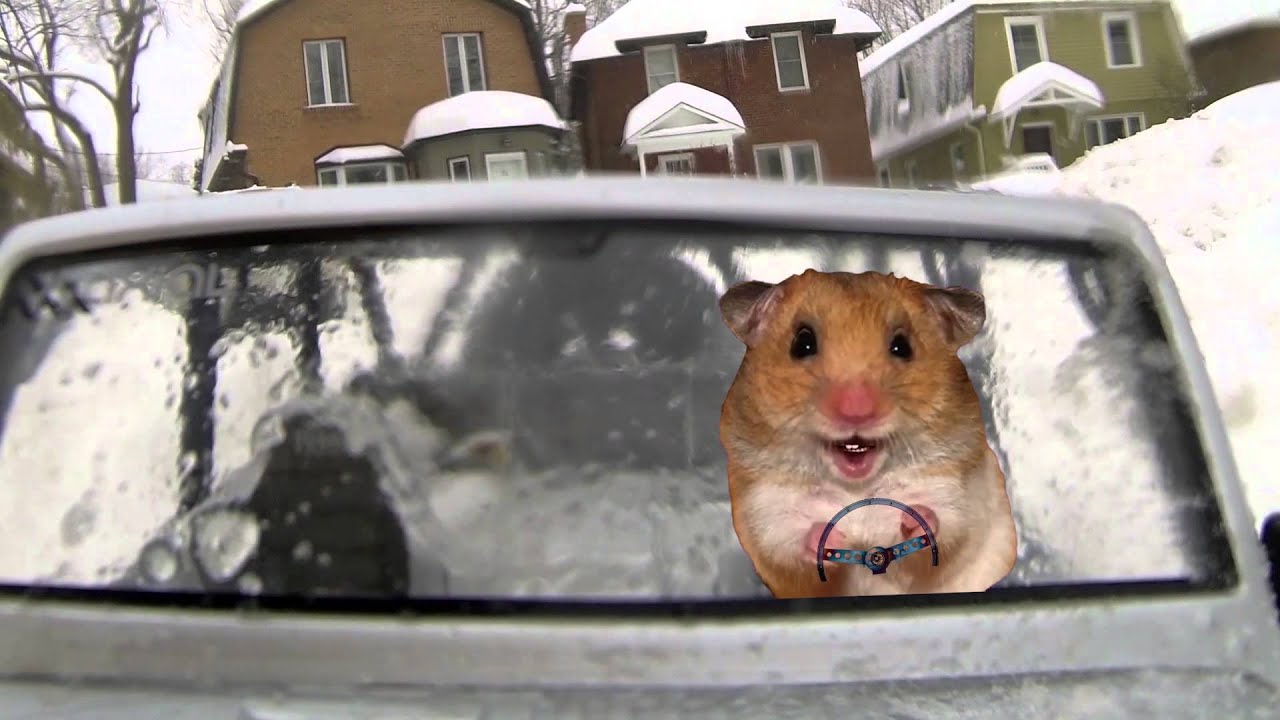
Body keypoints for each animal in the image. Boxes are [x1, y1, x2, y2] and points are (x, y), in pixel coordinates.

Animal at [717, 269, 1017, 599]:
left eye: (902, 346)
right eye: (802, 344)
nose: (857, 411)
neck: (855, 486)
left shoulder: (954, 489)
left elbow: (945, 523)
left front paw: (912, 521)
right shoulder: (766, 507)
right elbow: (787, 541)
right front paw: (837, 539)